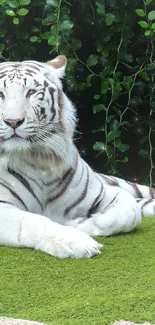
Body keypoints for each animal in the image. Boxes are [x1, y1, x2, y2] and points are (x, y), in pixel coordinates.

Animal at [0, 55, 154, 258]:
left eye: (31, 92)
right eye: (0, 94)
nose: (13, 121)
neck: (39, 160)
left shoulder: (101, 192)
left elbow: (130, 212)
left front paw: (82, 224)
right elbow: (34, 221)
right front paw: (76, 241)